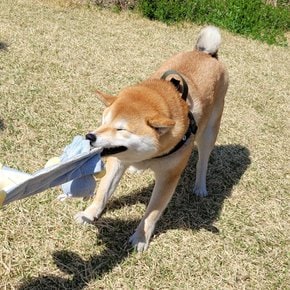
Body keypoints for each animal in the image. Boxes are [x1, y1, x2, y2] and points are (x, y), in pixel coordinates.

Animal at [75, 26, 229, 250]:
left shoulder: (169, 176)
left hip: (209, 132)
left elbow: (151, 214)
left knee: (203, 160)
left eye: (121, 129)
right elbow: (103, 192)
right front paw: (89, 214)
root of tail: (207, 54)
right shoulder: (117, 162)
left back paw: (200, 186)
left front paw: (140, 238)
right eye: (103, 121)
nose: (90, 136)